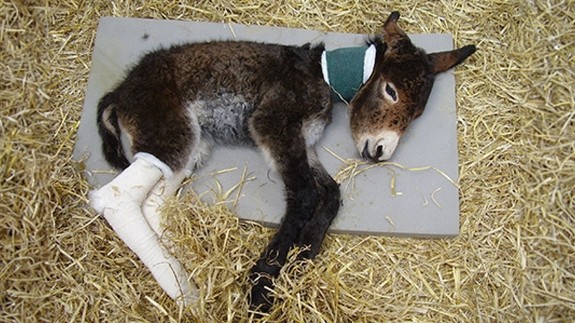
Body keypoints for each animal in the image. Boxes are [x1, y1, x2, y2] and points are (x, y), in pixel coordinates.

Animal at [90, 11, 476, 312]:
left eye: (417, 114)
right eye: (390, 90)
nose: (381, 151)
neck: (320, 74)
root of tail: (120, 92)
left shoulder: (304, 143)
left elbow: (331, 193)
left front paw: (304, 255)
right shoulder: (272, 125)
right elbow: (305, 195)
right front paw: (262, 285)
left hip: (190, 150)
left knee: (153, 204)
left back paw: (186, 273)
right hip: (172, 135)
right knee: (116, 198)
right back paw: (187, 293)